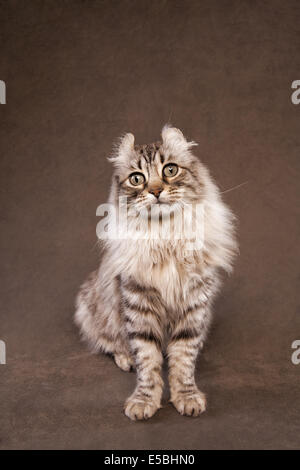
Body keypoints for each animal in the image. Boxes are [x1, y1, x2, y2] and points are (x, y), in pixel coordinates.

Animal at [75, 126, 237, 422]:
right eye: (137, 179)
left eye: (170, 170)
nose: (156, 190)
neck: (165, 237)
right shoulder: (138, 303)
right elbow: (147, 361)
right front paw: (144, 401)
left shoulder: (194, 303)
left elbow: (183, 358)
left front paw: (186, 397)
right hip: (92, 306)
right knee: (109, 343)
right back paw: (125, 358)